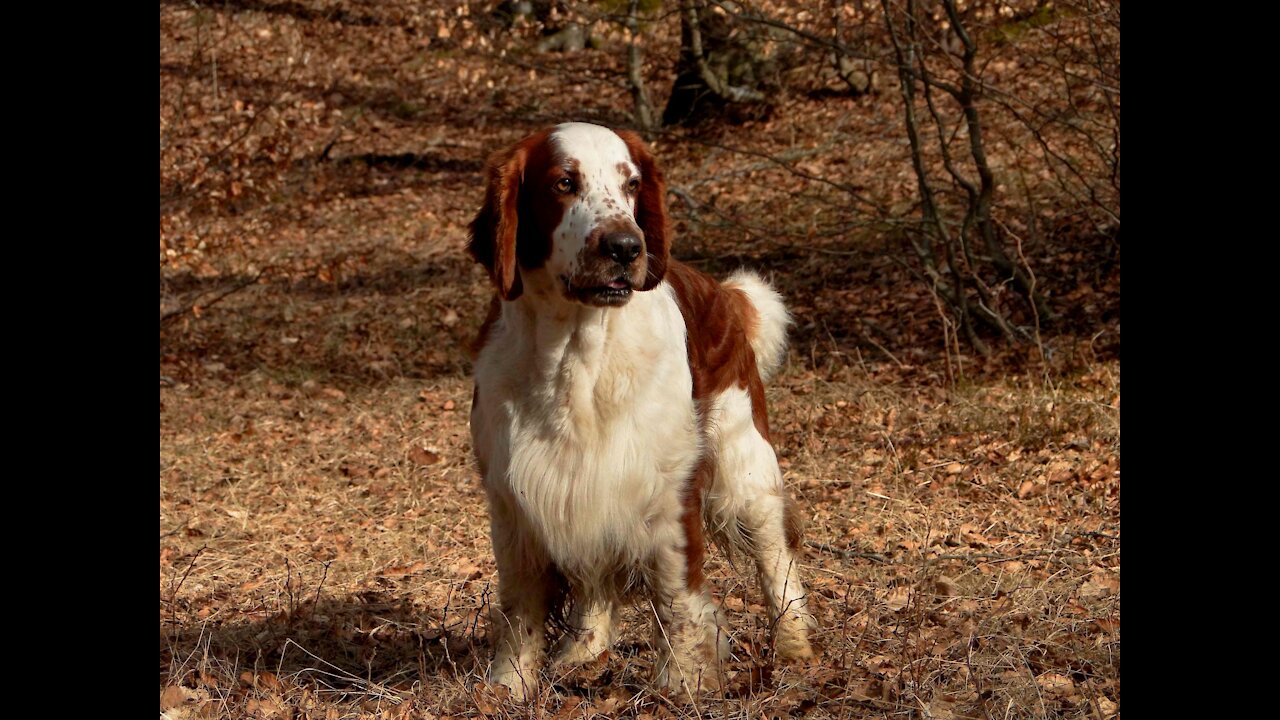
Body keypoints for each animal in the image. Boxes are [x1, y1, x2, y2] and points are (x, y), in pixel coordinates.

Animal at [465, 121, 814, 696]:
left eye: (631, 185)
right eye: (564, 182)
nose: (626, 247)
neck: (577, 351)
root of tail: (723, 292)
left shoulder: (667, 490)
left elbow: (677, 599)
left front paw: (683, 685)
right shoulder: (517, 498)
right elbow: (521, 607)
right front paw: (507, 687)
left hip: (744, 472)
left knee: (776, 559)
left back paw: (796, 649)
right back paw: (583, 654)